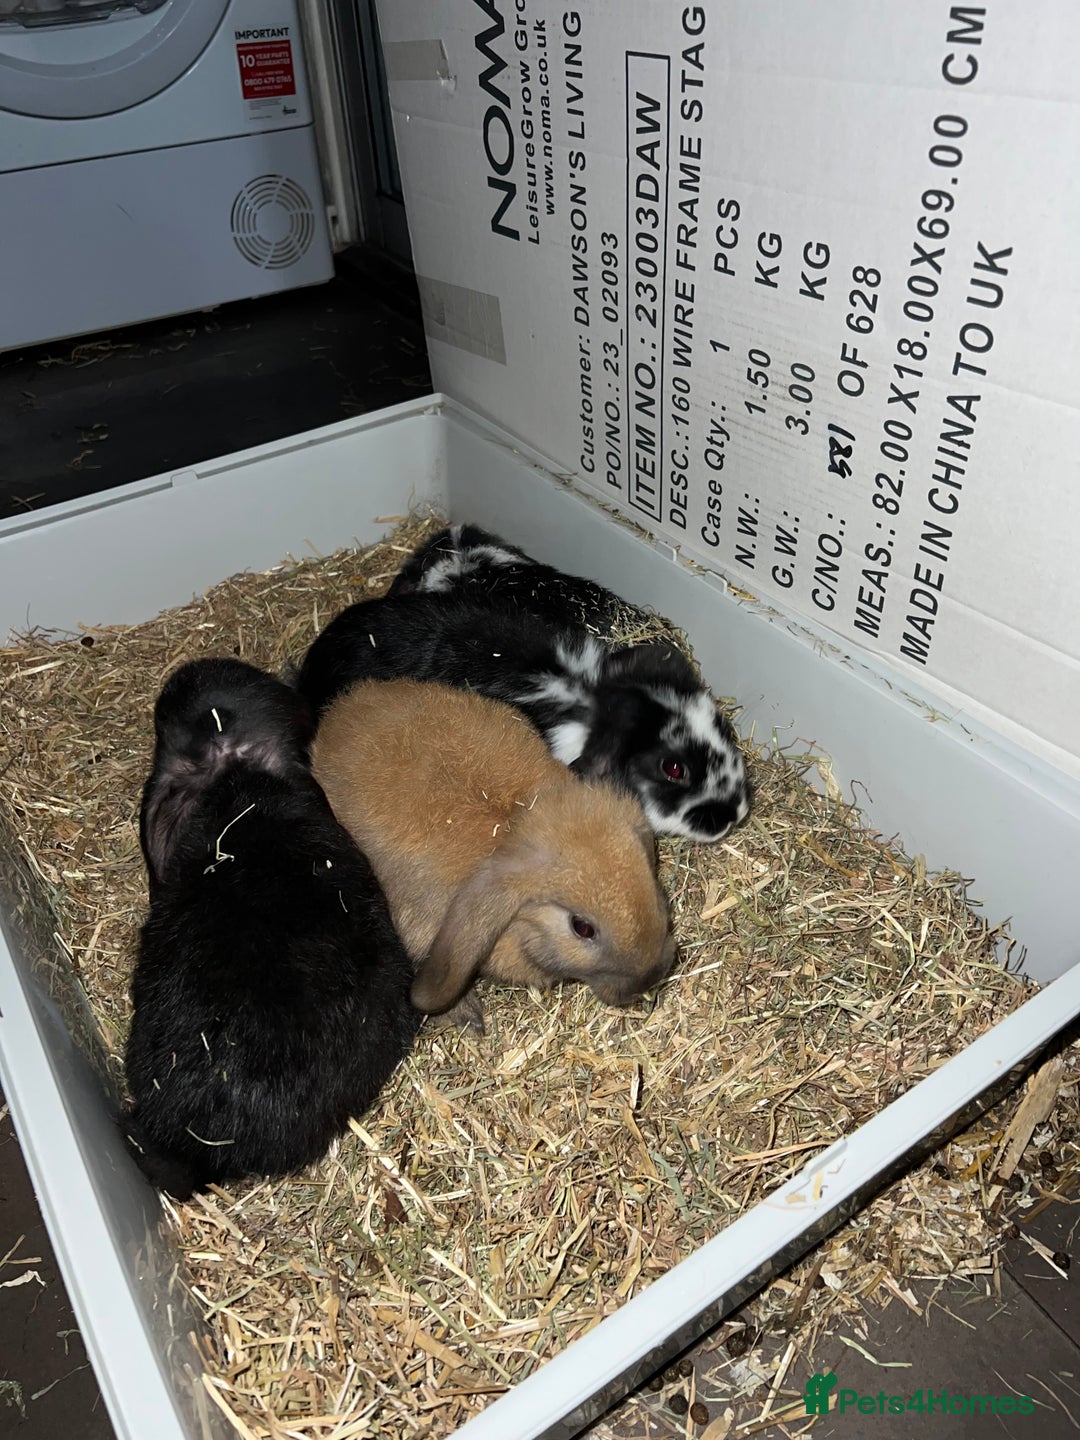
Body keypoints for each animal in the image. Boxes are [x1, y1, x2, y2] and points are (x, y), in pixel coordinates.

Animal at [309, 678, 677, 1031]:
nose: (651, 977)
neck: (512, 822)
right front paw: (467, 1016)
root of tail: (343, 707)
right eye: (582, 928)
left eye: (649, 875)